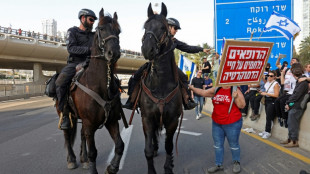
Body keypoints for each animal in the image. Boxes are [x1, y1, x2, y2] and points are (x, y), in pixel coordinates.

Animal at [55, 8, 124, 174]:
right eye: (101, 29)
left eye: (118, 31)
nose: (114, 53)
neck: (100, 86)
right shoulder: (89, 122)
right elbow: (94, 152)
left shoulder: (111, 121)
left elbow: (120, 145)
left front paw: (112, 167)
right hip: (66, 115)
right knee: (67, 135)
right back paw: (72, 159)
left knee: (81, 135)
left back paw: (83, 158)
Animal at [139, 2, 183, 174]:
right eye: (145, 27)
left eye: (163, 28)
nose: (147, 49)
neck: (161, 85)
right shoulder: (147, 118)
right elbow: (148, 149)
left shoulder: (172, 120)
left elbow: (169, 146)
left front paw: (168, 167)